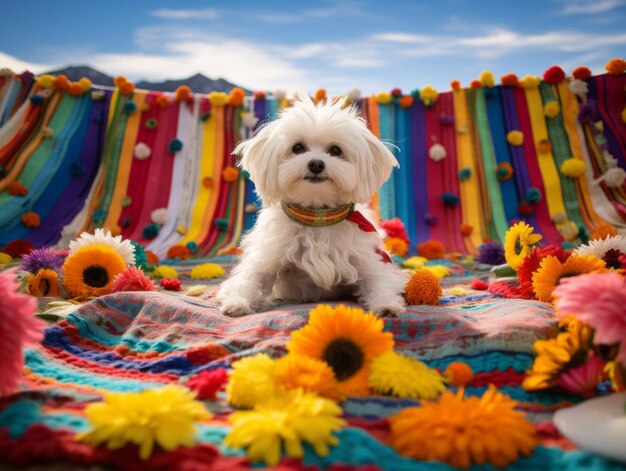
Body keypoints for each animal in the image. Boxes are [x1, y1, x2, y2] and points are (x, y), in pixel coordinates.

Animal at [217, 96, 408, 318]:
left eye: (335, 150)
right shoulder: (268, 256)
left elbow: (379, 280)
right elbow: (250, 279)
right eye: (298, 147)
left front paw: (387, 304)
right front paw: (237, 302)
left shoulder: (367, 258)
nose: (316, 164)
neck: (317, 217)